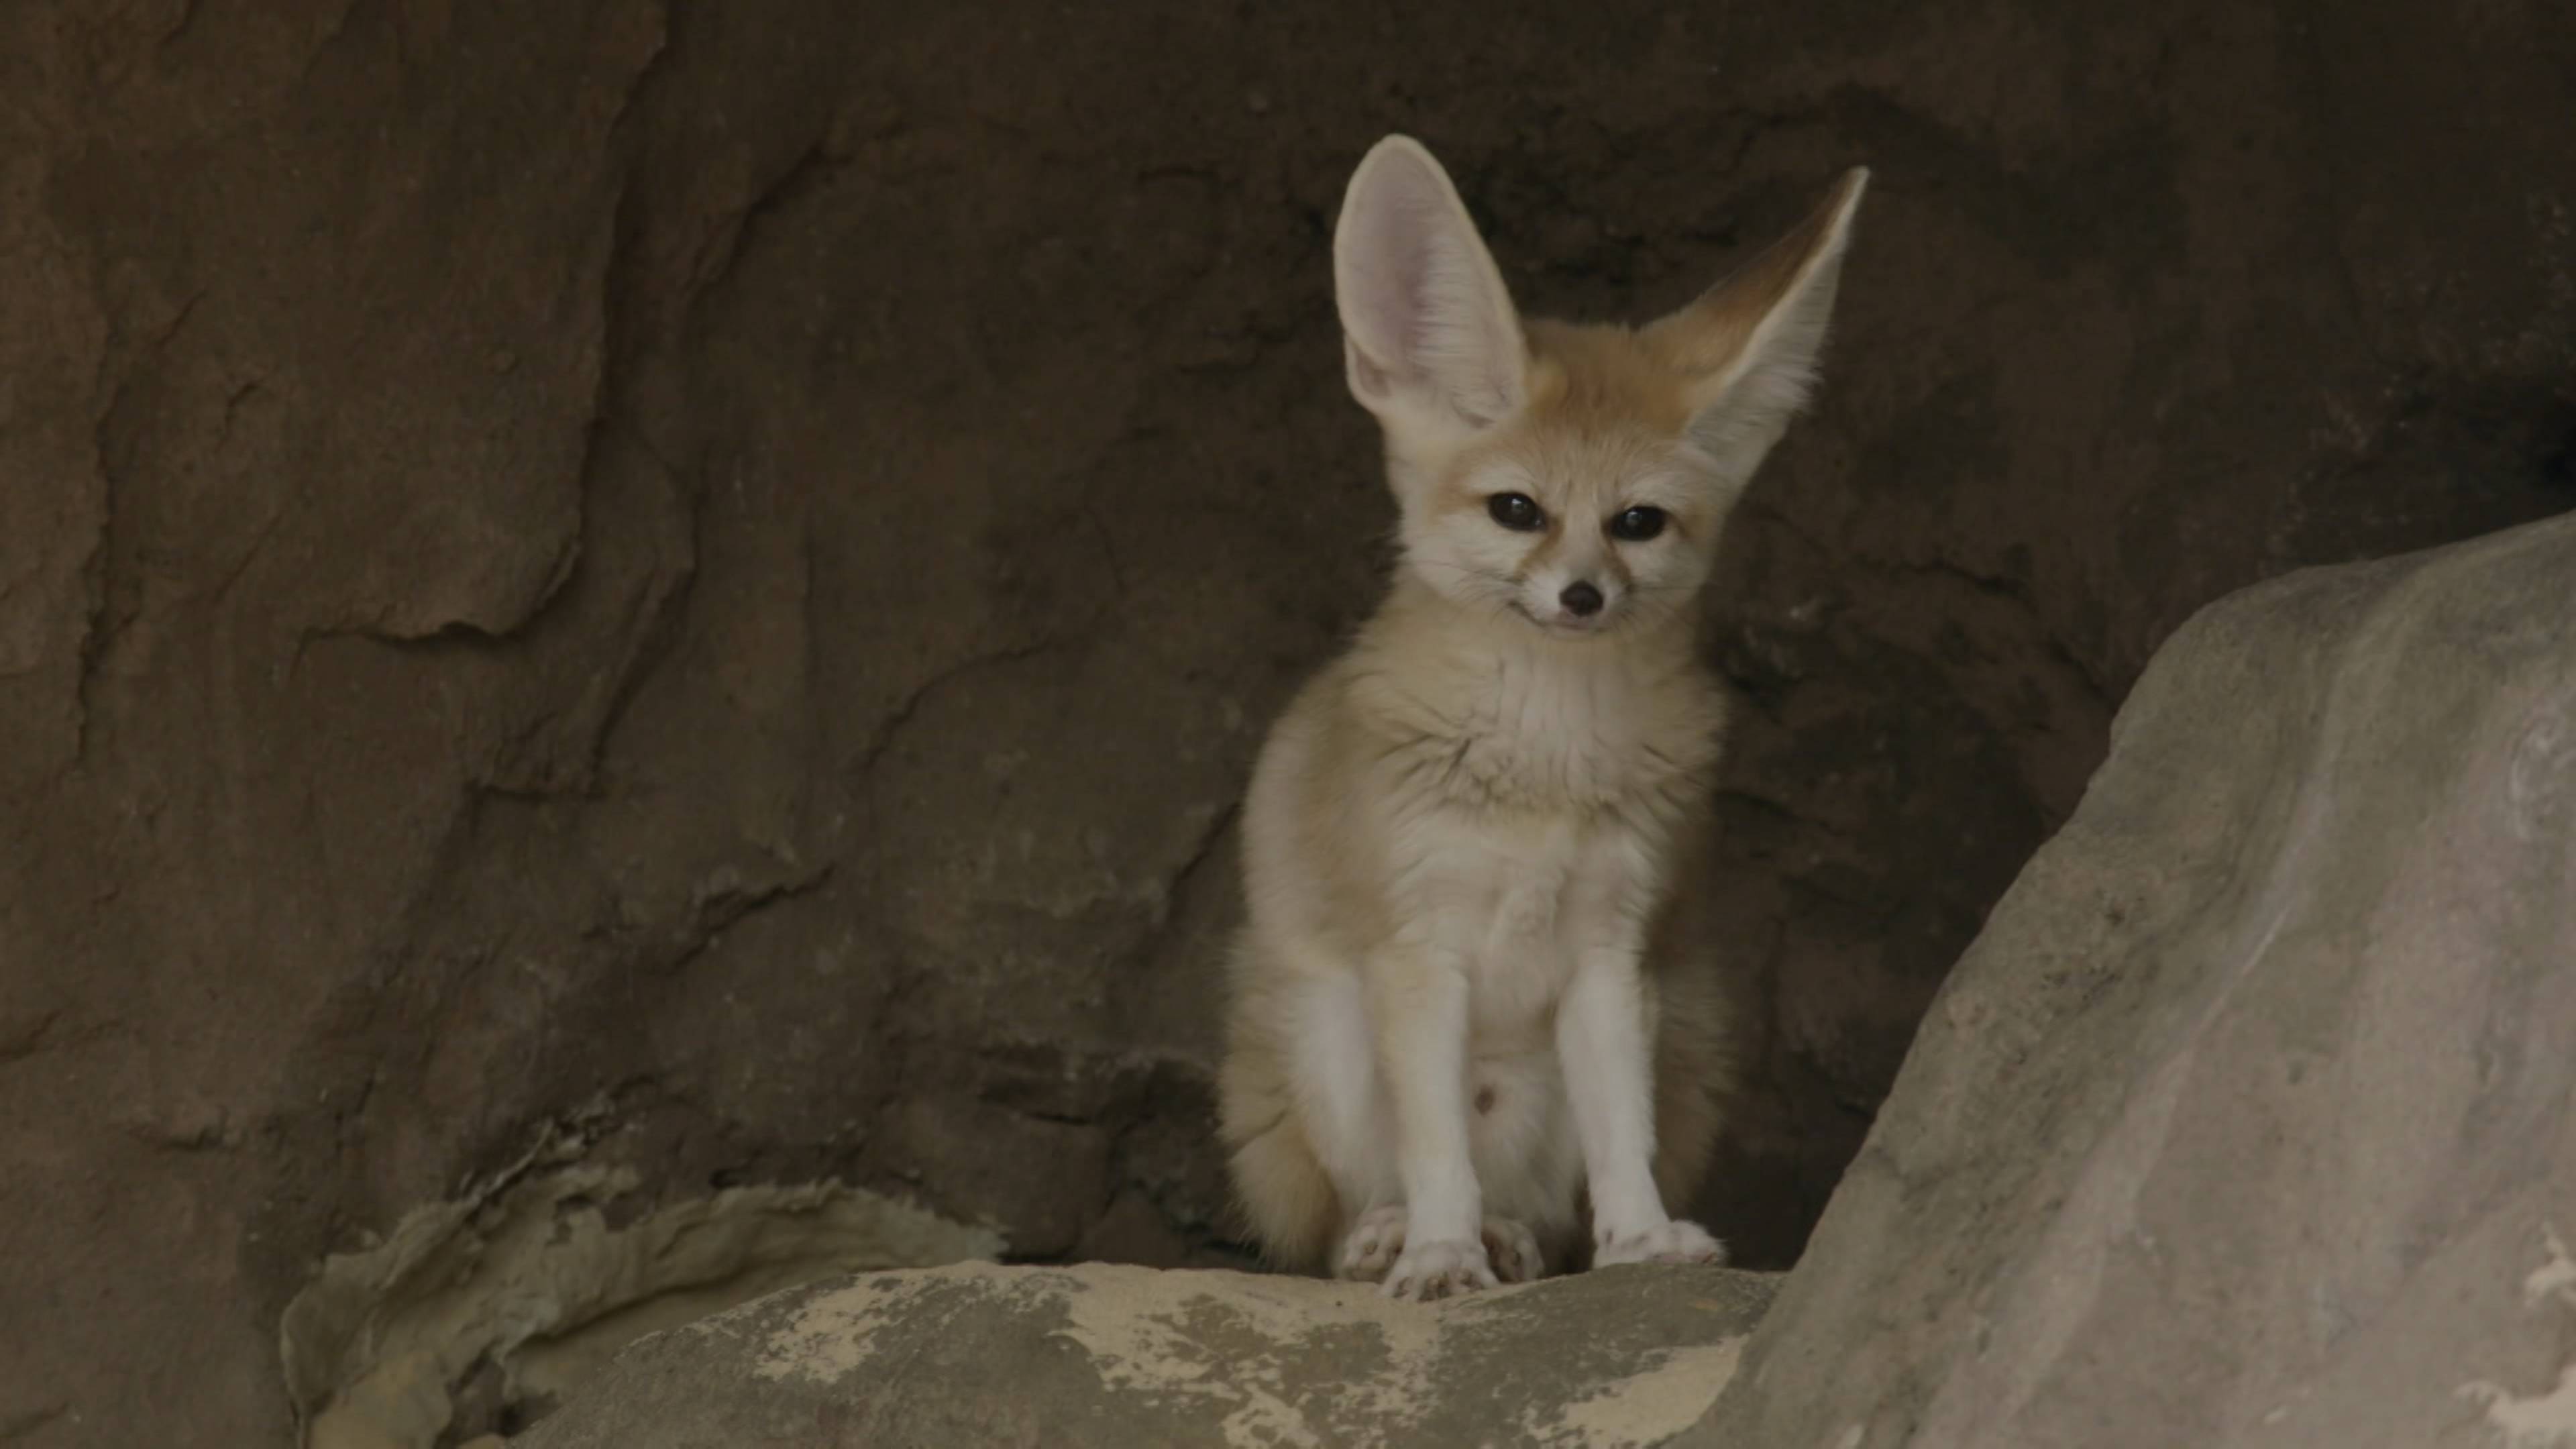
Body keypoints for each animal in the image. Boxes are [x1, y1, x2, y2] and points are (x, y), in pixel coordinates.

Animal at [1214, 135, 1868, 1300]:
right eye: (1516, 511)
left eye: (1637, 524)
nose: (1582, 597)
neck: (1545, 769)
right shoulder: (1418, 953)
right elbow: (1437, 1147)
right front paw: (1438, 1252)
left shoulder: (1611, 954)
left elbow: (1621, 1139)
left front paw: (1644, 1240)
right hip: (1323, 1030)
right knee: (1344, 1215)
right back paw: (1389, 1235)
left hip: (1682, 1025)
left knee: (1541, 1213)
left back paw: (1514, 1239)